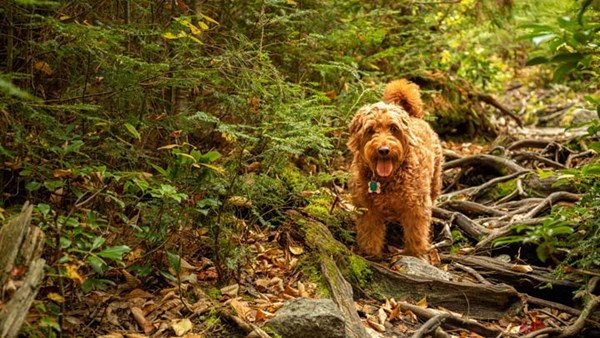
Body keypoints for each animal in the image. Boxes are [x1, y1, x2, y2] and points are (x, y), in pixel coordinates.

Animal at [350, 80, 442, 256]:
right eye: (370, 130)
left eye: (394, 128)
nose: (384, 150)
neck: (387, 179)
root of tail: (414, 116)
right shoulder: (367, 208)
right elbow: (370, 231)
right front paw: (370, 251)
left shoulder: (417, 207)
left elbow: (416, 232)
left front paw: (415, 252)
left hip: (435, 180)